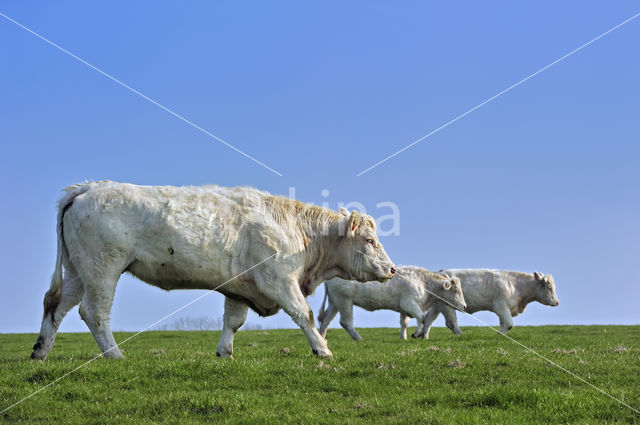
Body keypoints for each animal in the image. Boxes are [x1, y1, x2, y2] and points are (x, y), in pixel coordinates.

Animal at [31, 181, 396, 360]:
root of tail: (88, 188)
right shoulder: (277, 279)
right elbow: (303, 314)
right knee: (94, 312)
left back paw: (41, 352)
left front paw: (224, 353)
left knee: (55, 306)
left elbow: (233, 321)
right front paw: (322, 349)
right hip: (102, 268)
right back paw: (115, 355)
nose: (392, 269)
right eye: (369, 239)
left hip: (78, 272)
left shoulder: (241, 287)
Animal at [318, 264, 468, 342]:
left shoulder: (404, 308)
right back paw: (358, 338)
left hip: (334, 302)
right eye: (456, 291)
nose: (464, 306)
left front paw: (404, 337)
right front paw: (417, 334)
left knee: (325, 321)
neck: (423, 283)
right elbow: (422, 318)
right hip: (345, 301)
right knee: (345, 322)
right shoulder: (409, 303)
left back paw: (322, 338)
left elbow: (404, 323)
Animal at [418, 268, 556, 338]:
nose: (556, 302)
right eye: (548, 287)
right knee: (451, 323)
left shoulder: (504, 309)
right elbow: (509, 323)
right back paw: (461, 335)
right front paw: (499, 335)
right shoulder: (500, 306)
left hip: (438, 305)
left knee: (429, 319)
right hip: (446, 305)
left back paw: (424, 336)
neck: (515, 285)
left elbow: (504, 323)